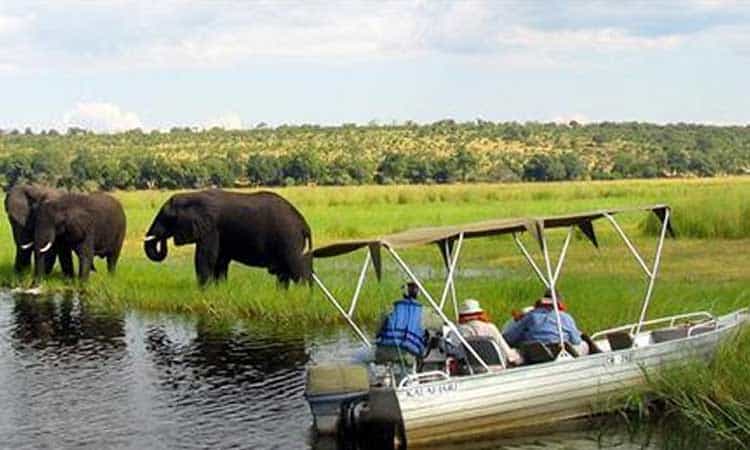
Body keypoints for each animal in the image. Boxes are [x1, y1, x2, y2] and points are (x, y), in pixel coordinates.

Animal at [144, 189, 312, 286]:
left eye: (167, 218)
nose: (162, 238)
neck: (191, 195)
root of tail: (303, 224)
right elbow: (220, 260)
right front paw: (220, 289)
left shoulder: (211, 228)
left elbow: (205, 258)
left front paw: (204, 291)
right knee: (288, 273)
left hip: (290, 239)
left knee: (297, 269)